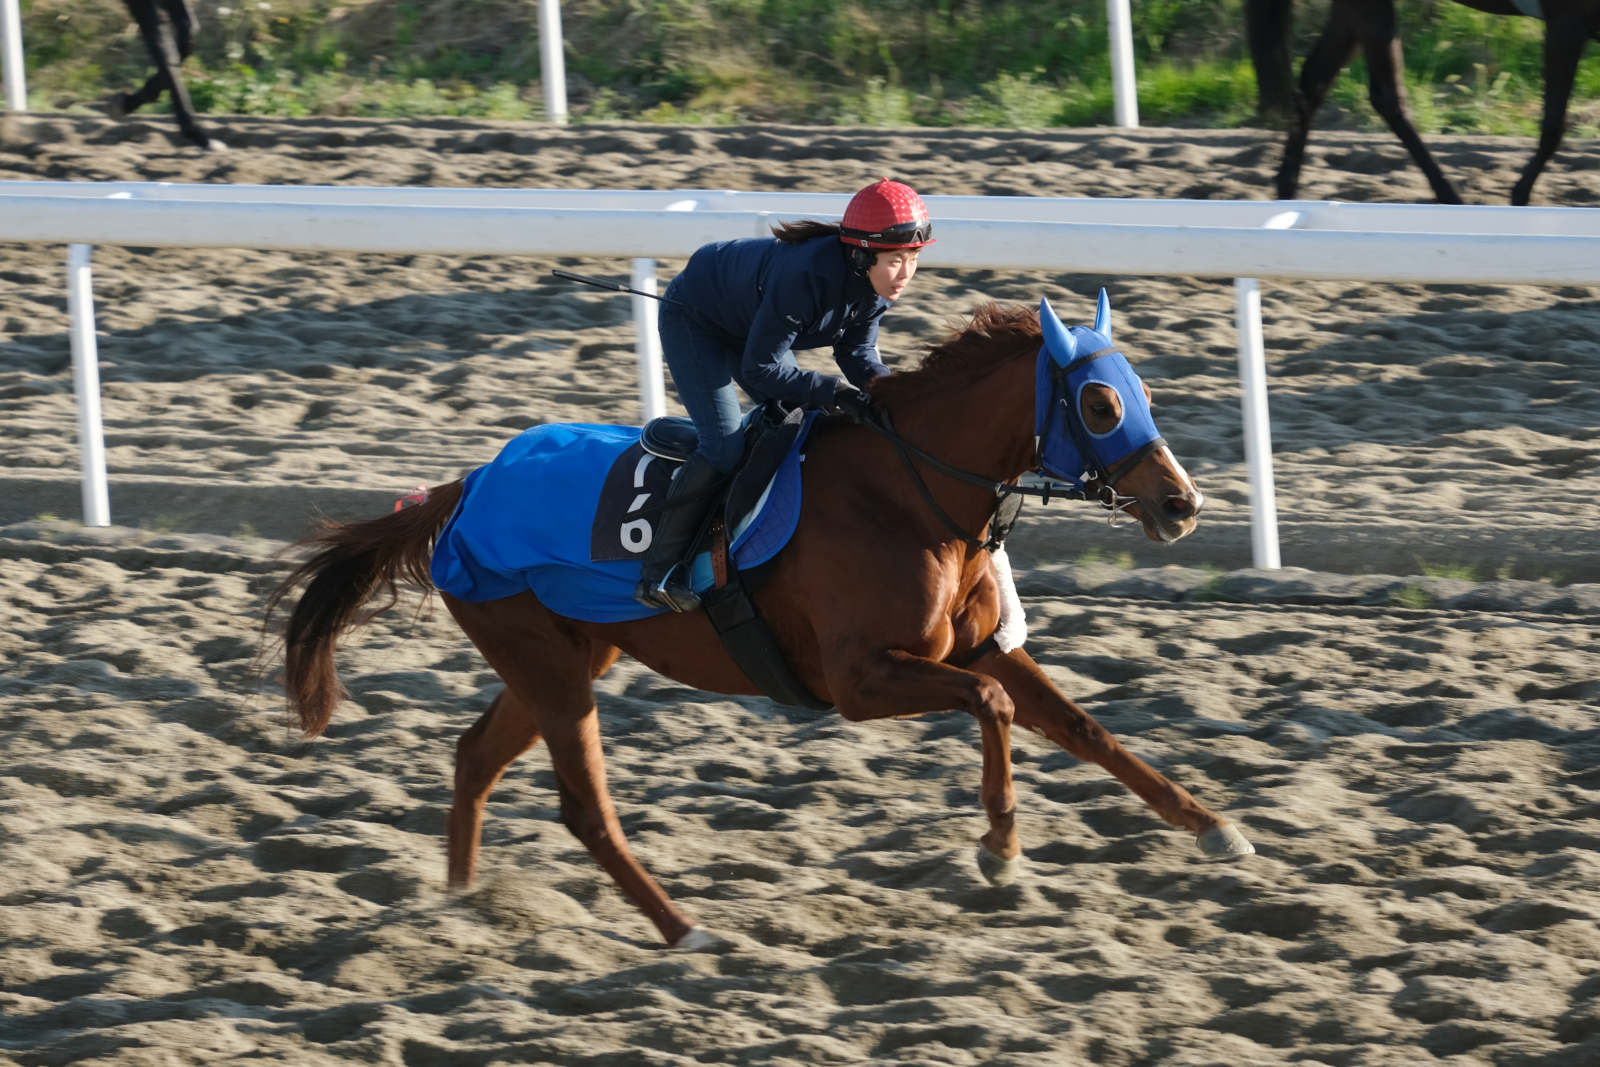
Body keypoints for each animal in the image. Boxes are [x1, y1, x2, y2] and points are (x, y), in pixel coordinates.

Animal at [268, 294, 1254, 953]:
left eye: (1143, 390)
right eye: (1100, 404)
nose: (1184, 503)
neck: (908, 496)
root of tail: (464, 487)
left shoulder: (979, 647)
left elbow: (1085, 728)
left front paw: (1216, 827)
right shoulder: (858, 679)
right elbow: (992, 706)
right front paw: (1002, 851)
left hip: (565, 657)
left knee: (475, 755)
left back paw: (464, 905)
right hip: (542, 659)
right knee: (585, 806)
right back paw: (684, 929)